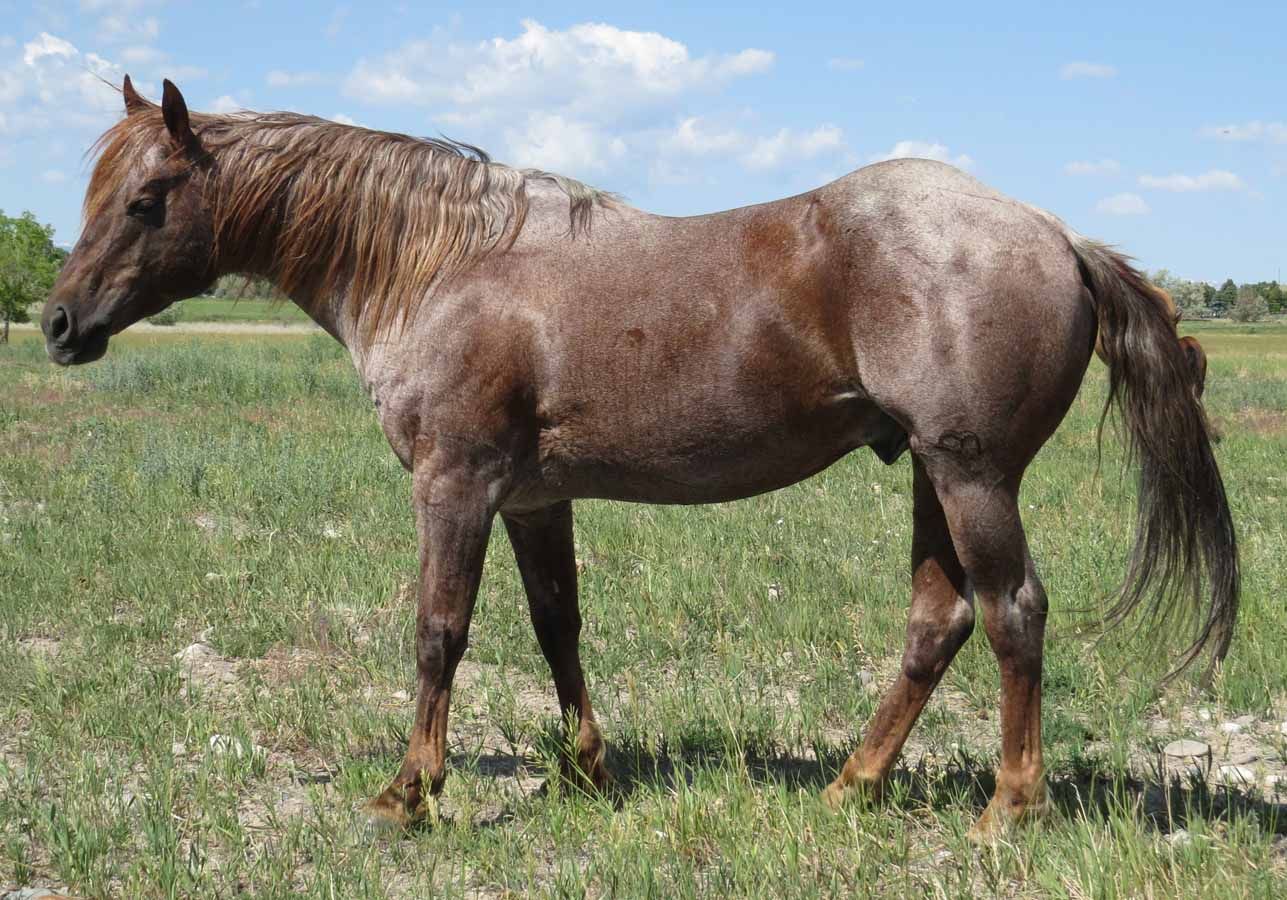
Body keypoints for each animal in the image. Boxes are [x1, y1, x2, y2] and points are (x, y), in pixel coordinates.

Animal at [41, 78, 1237, 839]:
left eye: (146, 201)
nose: (58, 325)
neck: (446, 266)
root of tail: (1056, 235)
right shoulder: (532, 498)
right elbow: (556, 627)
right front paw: (587, 770)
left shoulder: (455, 485)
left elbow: (438, 633)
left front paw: (409, 793)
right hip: (932, 479)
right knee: (936, 623)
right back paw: (852, 786)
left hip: (971, 474)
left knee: (1010, 613)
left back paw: (1006, 810)